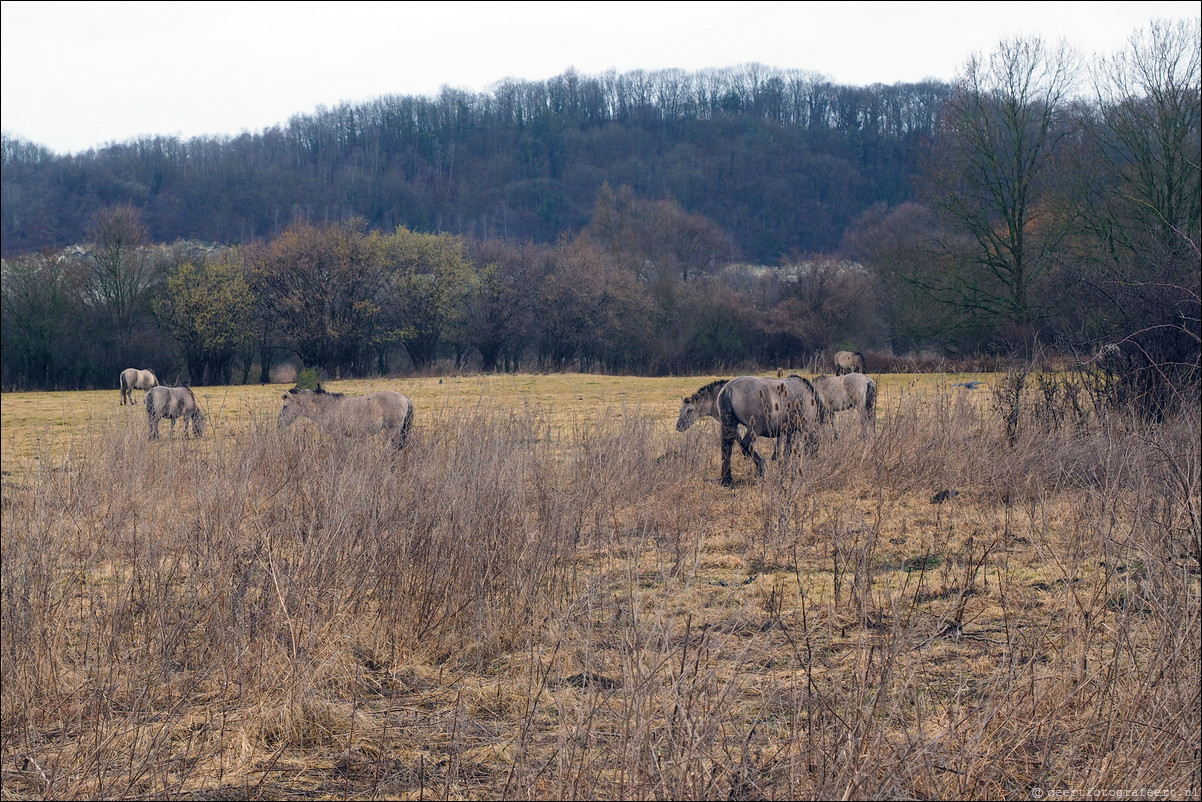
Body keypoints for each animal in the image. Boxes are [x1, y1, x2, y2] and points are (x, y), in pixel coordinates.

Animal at [278, 384, 415, 452]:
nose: (279, 424)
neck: (328, 406)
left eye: (285, 406)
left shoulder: (338, 435)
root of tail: (404, 397)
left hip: (393, 430)